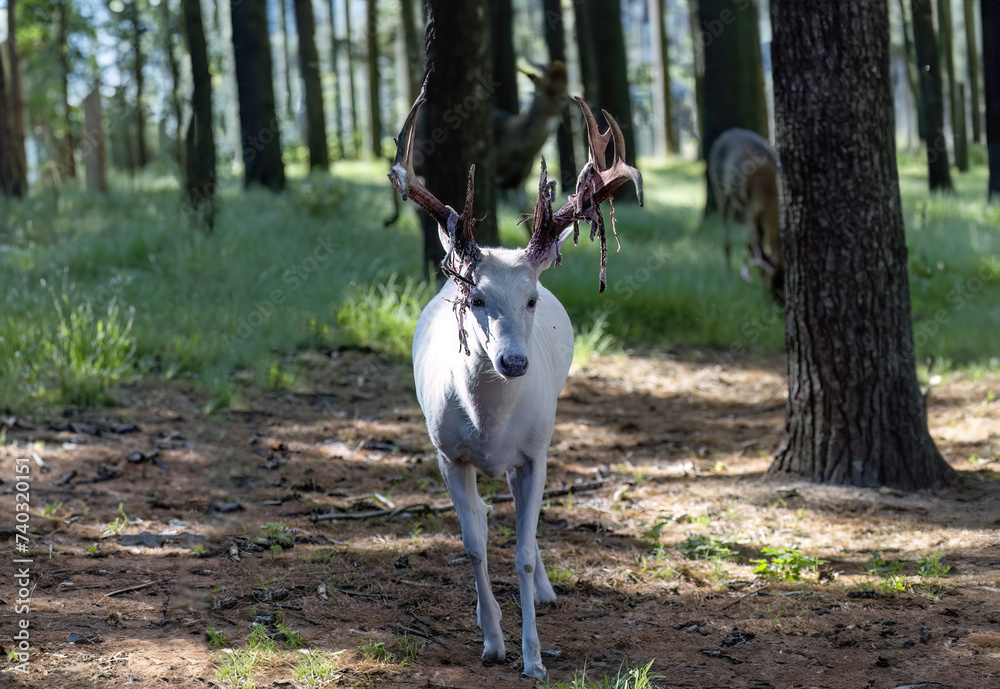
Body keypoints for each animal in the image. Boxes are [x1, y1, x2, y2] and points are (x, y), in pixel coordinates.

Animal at [386, 86, 644, 676]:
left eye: (530, 299)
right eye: (476, 297)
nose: (513, 363)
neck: (489, 425)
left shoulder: (533, 452)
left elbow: (522, 554)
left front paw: (533, 656)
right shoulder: (447, 453)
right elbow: (474, 545)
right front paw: (492, 641)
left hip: (539, 441)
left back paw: (546, 590)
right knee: (487, 515)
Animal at [708, 127, 784, 300]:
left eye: (785, 283)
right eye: (774, 284)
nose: (778, 302)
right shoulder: (751, 209)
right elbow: (753, 247)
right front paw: (762, 291)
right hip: (721, 194)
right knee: (727, 239)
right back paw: (728, 274)